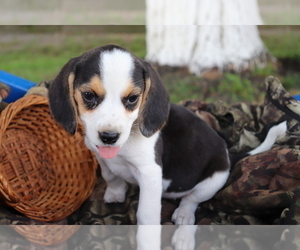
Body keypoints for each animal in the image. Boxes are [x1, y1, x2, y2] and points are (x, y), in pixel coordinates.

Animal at [48, 44, 288, 225]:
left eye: (133, 99)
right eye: (88, 95)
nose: (109, 136)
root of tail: (229, 154)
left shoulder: (150, 173)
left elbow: (146, 214)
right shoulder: (101, 157)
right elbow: (111, 175)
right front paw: (115, 193)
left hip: (214, 180)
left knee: (191, 200)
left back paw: (183, 217)